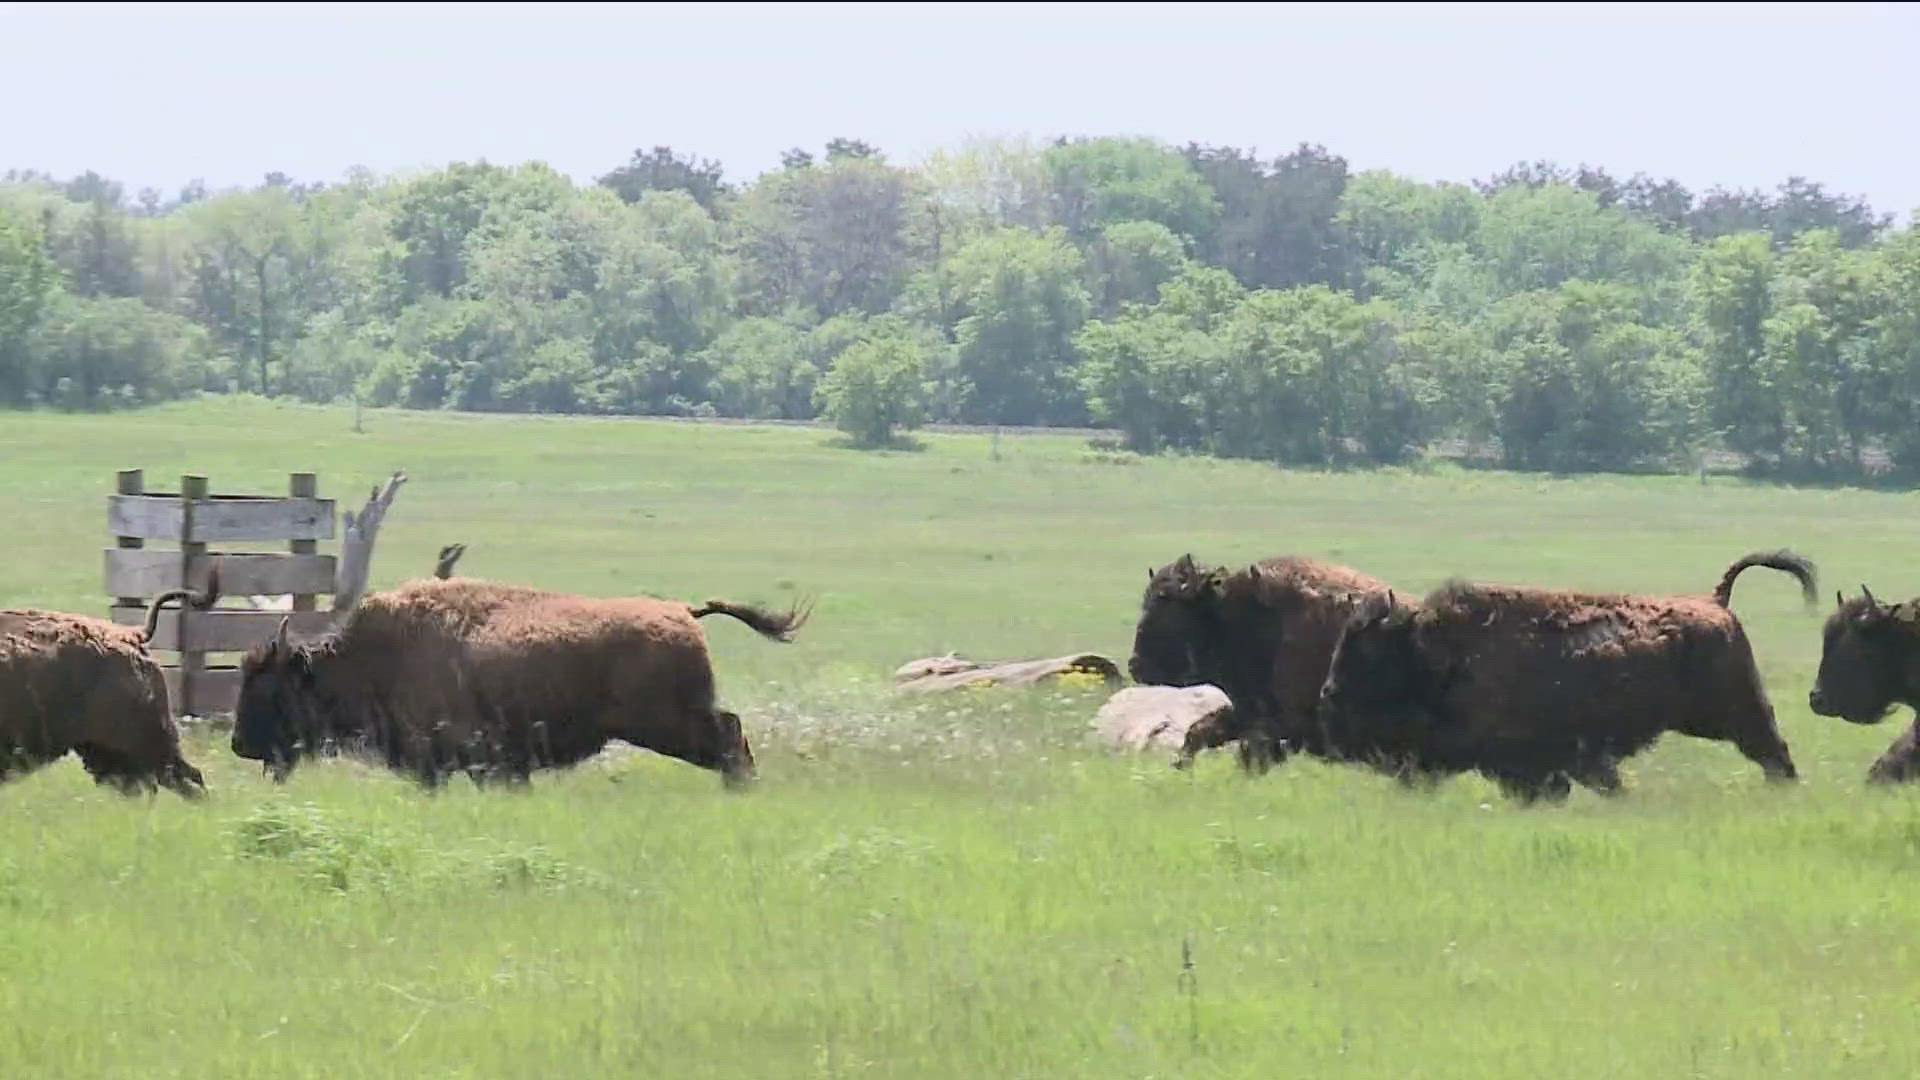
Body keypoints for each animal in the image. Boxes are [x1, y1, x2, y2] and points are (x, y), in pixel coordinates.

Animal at [1313, 545, 1820, 799]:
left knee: (1772, 751)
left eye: (1366, 649)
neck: (1432, 650)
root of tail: (1715, 602)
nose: (1329, 690)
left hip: (1734, 715)